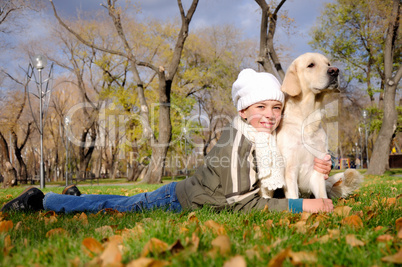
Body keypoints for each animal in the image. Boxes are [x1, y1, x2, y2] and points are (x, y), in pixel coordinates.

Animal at [278, 52, 362, 199]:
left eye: (328, 64)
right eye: (311, 65)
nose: (335, 70)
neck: (308, 119)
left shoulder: (317, 169)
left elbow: (322, 197)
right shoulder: (290, 168)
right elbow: (293, 196)